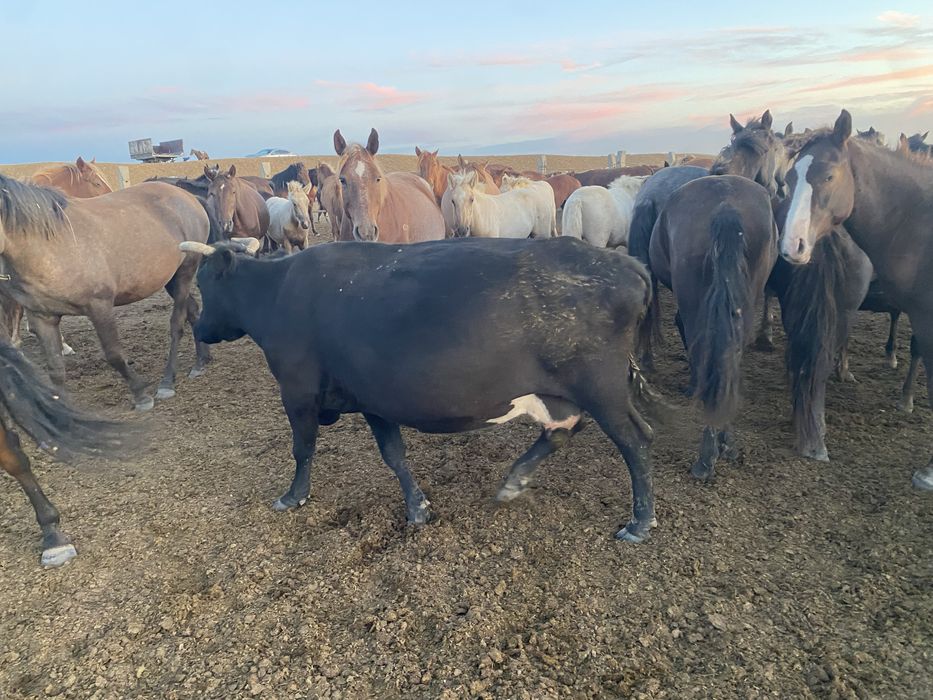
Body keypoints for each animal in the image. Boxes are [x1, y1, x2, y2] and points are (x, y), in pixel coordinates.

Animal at [179, 237, 657, 543]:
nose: (199, 330)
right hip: (566, 393)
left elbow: (303, 448)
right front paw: (418, 507)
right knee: (563, 430)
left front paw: (294, 496)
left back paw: (639, 522)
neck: (277, 291)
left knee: (635, 441)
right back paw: (514, 481)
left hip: (603, 389)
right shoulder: (373, 399)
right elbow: (394, 455)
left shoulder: (296, 392)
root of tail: (627, 264)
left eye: (204, 283)